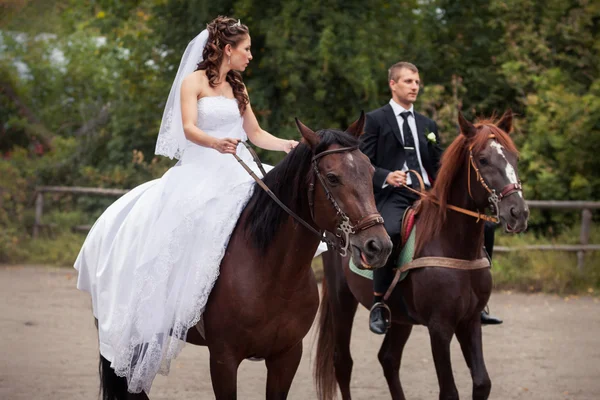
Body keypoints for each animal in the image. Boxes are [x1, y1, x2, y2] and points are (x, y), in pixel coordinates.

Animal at [98, 113, 394, 400]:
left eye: (369, 171)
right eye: (332, 177)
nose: (378, 246)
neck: (274, 276)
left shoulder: (286, 356)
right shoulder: (223, 359)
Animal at [314, 111, 528, 400]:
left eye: (515, 157)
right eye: (483, 160)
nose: (518, 212)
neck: (452, 245)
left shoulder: (470, 321)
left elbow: (482, 383)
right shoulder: (440, 327)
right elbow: (449, 391)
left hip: (400, 318)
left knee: (388, 359)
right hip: (341, 299)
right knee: (343, 363)